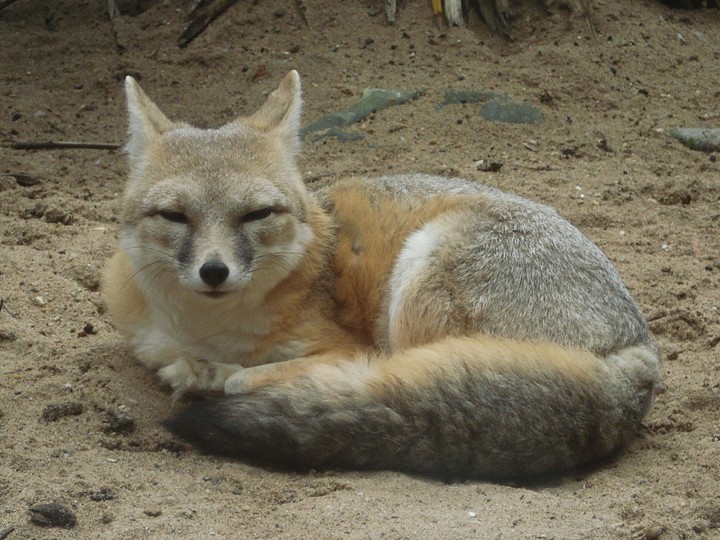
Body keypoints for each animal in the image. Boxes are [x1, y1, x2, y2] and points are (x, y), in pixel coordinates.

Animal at [102, 70, 660, 480]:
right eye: (175, 216)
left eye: (256, 214)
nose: (214, 271)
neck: (206, 330)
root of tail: (640, 348)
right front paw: (204, 371)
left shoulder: (347, 348)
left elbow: (251, 376)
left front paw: (220, 376)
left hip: (420, 274)